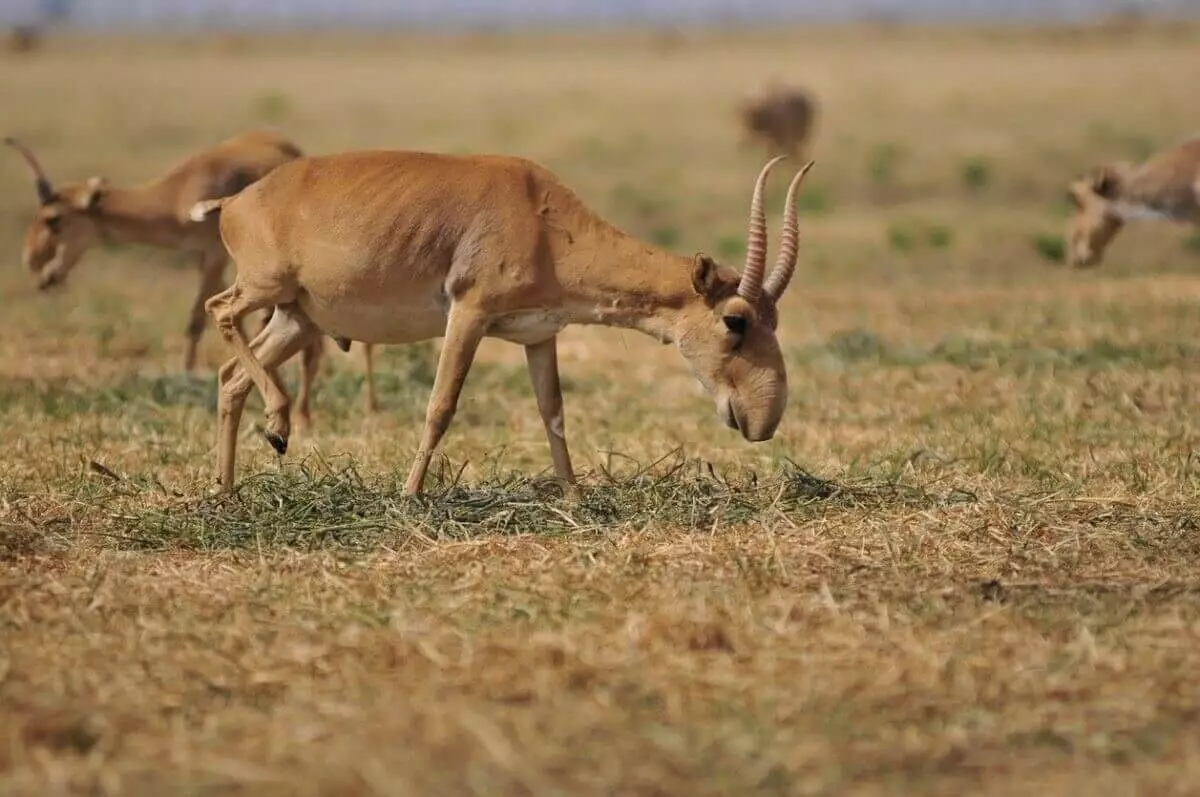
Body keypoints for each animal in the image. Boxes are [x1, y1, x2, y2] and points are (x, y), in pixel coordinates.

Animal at [192, 150, 816, 494]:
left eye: (774, 317)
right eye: (736, 321)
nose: (762, 419)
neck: (541, 215)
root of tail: (234, 204)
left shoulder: (539, 335)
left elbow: (553, 413)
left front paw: (574, 497)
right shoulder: (468, 315)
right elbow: (441, 405)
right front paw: (410, 495)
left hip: (297, 319)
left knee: (230, 378)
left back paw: (228, 490)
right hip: (266, 290)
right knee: (219, 312)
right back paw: (277, 425)